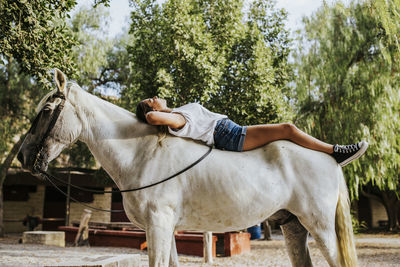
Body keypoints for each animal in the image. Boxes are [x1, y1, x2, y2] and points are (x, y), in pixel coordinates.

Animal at [17, 69, 358, 267]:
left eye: (47, 110)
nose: (23, 156)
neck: (142, 154)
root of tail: (330, 159)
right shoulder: (164, 228)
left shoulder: (159, 225)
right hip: (294, 226)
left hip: (321, 227)